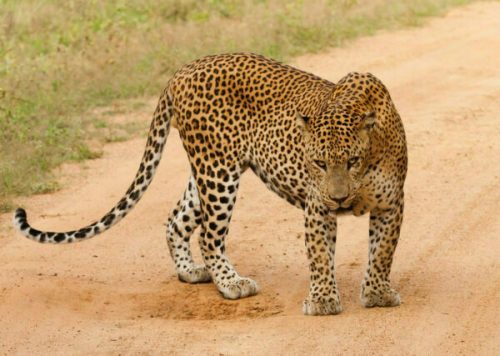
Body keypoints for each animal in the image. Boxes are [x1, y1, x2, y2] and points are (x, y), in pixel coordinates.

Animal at [13, 52, 408, 314]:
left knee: (176, 221)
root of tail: (182, 70)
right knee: (208, 235)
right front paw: (324, 300)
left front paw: (376, 294)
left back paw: (190, 273)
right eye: (318, 163)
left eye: (352, 161)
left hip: (207, 171)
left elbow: (382, 252)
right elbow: (321, 256)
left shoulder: (391, 204)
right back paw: (232, 283)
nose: (339, 199)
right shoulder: (316, 208)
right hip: (219, 171)